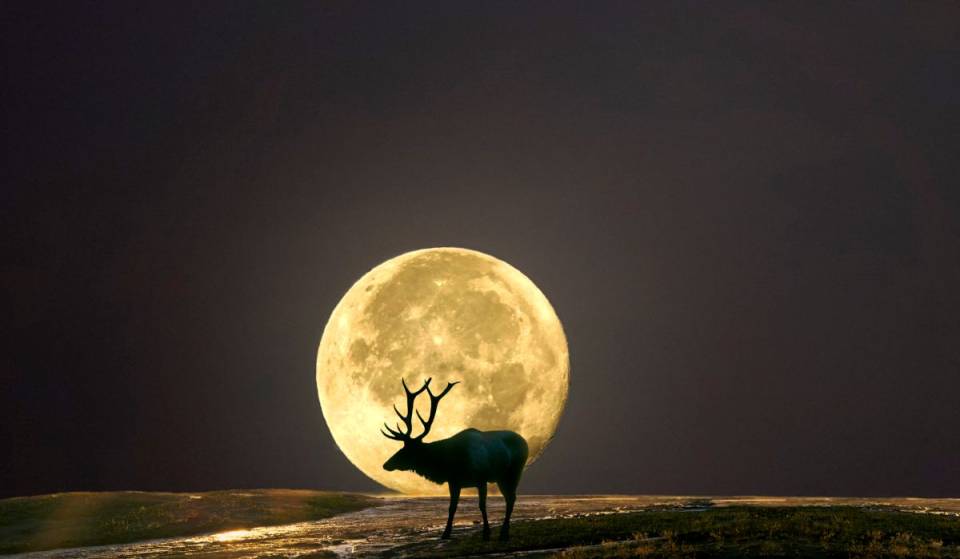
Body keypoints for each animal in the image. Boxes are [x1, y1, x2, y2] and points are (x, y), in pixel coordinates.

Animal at [381, 377, 529, 541]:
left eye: (406, 450)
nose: (386, 464)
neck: (451, 462)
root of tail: (525, 442)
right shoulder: (454, 482)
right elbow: (452, 507)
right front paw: (445, 533)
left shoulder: (481, 479)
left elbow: (481, 505)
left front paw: (486, 533)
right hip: (501, 478)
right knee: (510, 498)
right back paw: (504, 531)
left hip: (514, 472)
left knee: (512, 498)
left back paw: (504, 532)